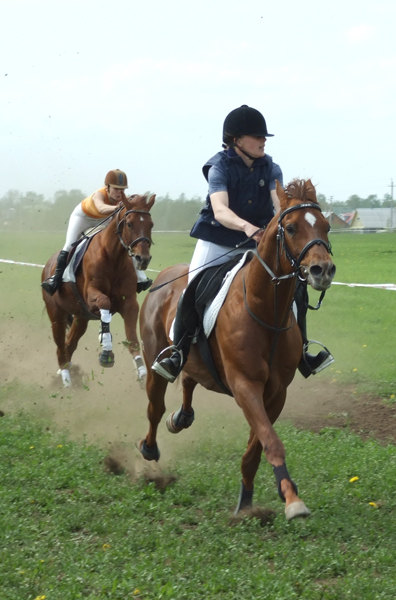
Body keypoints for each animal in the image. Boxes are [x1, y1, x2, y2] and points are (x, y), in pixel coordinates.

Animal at [41, 195, 155, 386]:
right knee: (60, 347)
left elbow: (132, 338)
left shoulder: (129, 303)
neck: (113, 257)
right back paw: (66, 381)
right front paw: (106, 349)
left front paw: (142, 372)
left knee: (69, 344)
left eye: (151, 224)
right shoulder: (91, 296)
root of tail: (48, 265)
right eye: (129, 224)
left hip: (81, 318)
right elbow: (104, 303)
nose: (143, 259)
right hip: (56, 315)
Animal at [138, 179, 336, 520]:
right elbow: (270, 440)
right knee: (155, 405)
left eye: (325, 225)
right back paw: (150, 447)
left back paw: (181, 417)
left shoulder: (275, 392)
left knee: (188, 380)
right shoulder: (246, 386)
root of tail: (162, 278)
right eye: (292, 228)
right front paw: (293, 501)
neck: (264, 311)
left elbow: (256, 447)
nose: (322, 270)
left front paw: (248, 501)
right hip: (154, 358)